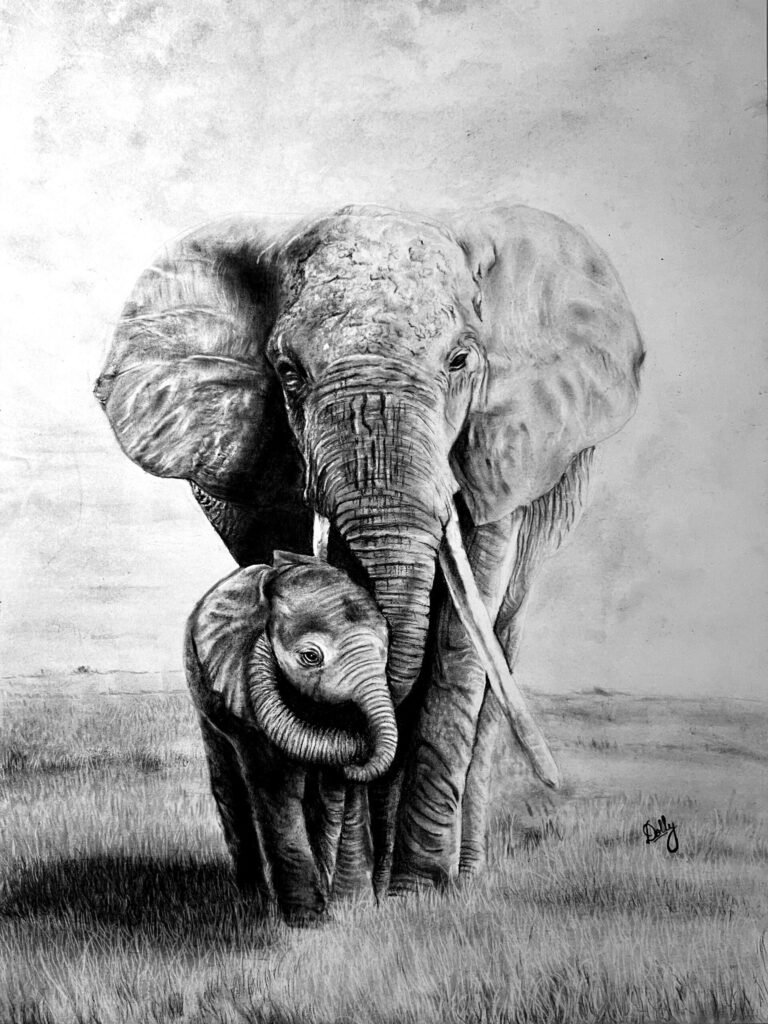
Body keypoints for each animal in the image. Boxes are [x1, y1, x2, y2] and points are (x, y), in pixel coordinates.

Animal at [185, 550, 395, 921]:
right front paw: (306, 921)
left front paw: (354, 912)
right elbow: (277, 787)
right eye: (310, 657)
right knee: (228, 782)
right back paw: (251, 901)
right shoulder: (242, 689)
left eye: (386, 649)